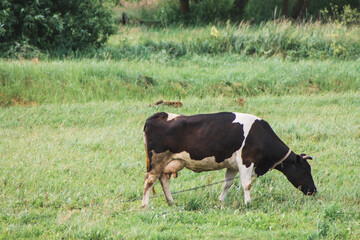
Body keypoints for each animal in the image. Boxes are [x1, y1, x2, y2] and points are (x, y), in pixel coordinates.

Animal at [142, 111, 316, 207]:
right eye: (306, 170)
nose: (314, 190)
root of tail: (160, 115)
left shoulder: (233, 165)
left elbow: (227, 183)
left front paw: (221, 200)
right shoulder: (246, 161)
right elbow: (246, 184)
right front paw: (248, 203)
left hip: (167, 162)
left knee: (164, 180)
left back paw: (171, 202)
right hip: (157, 160)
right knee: (149, 181)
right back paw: (145, 205)